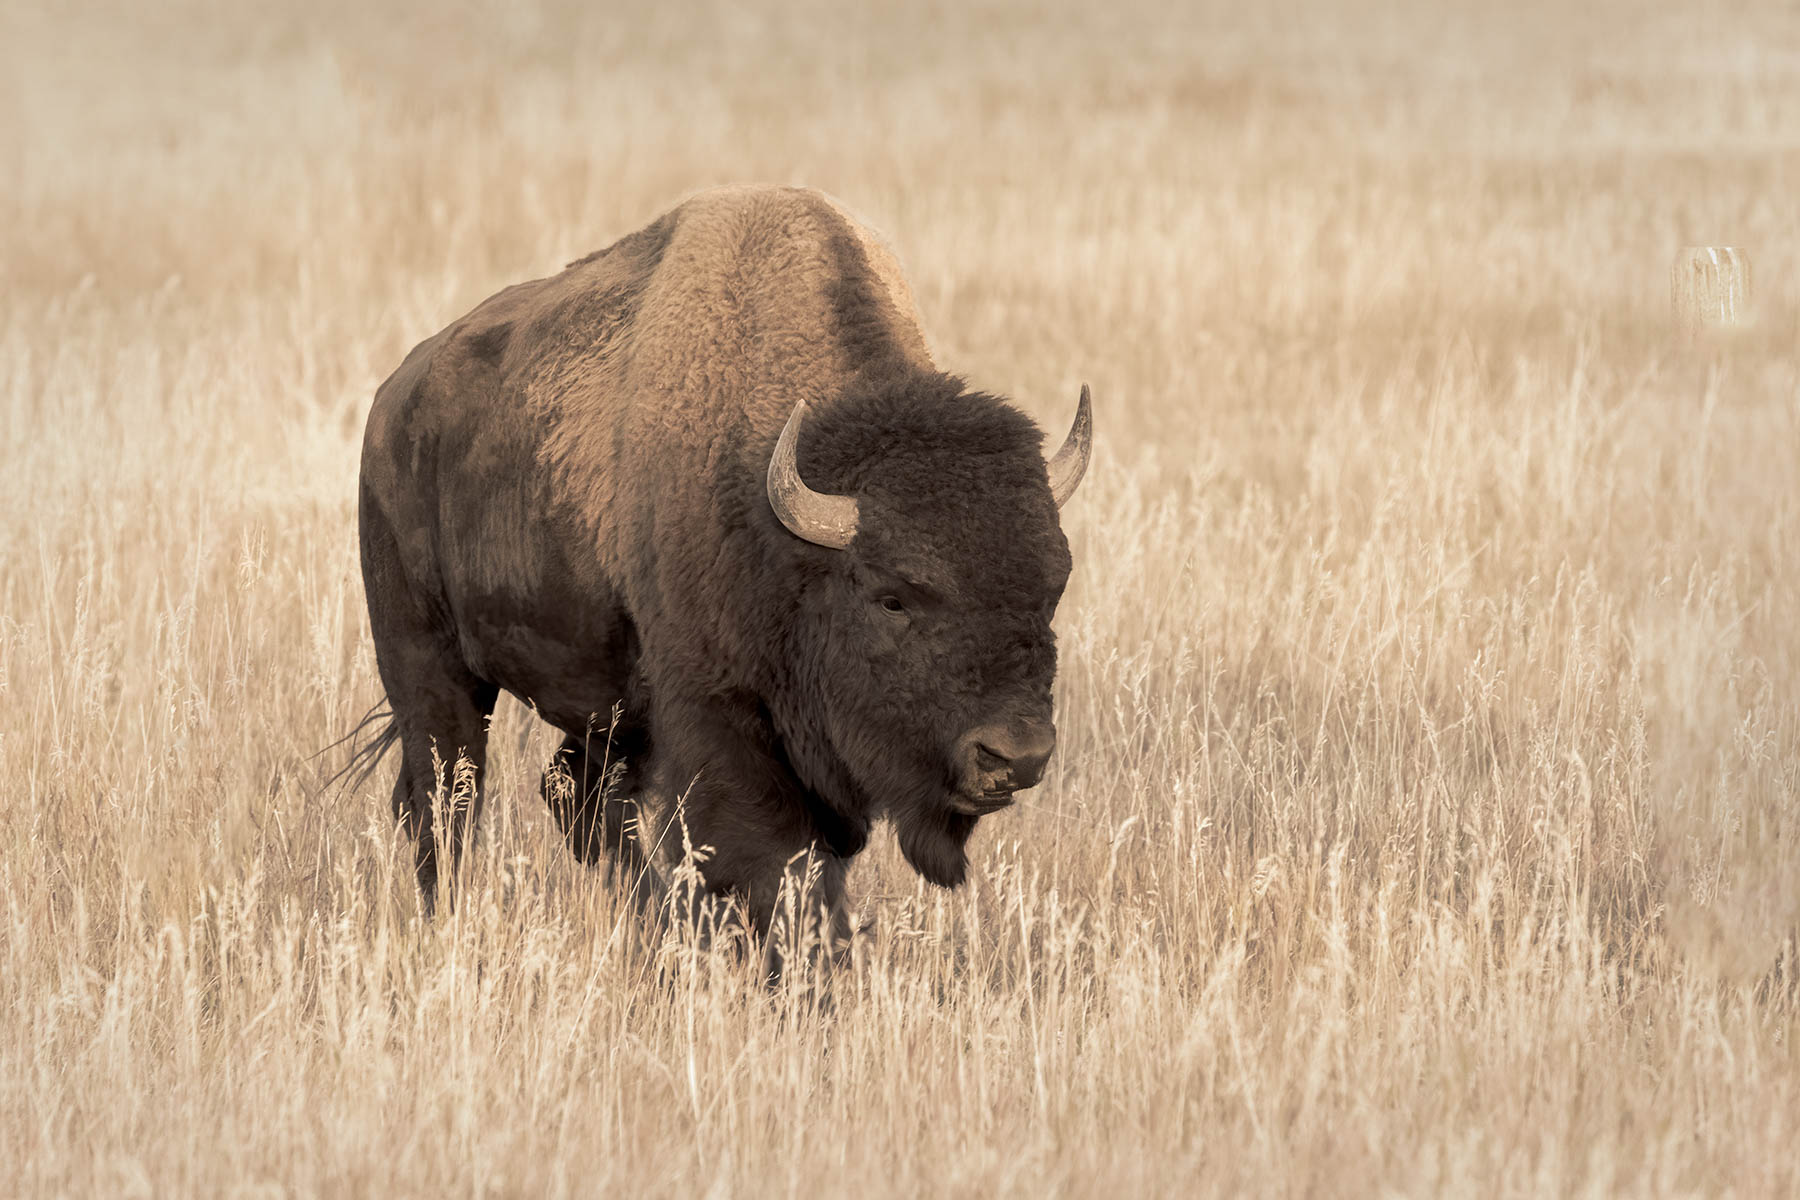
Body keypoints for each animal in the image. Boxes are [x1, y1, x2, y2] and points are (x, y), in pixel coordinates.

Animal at [351, 180, 1080, 949]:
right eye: (893, 597)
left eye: (1051, 590)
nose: (1015, 756)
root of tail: (392, 404)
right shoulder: (719, 722)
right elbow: (774, 863)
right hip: (429, 666)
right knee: (447, 797)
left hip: (607, 708)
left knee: (571, 797)